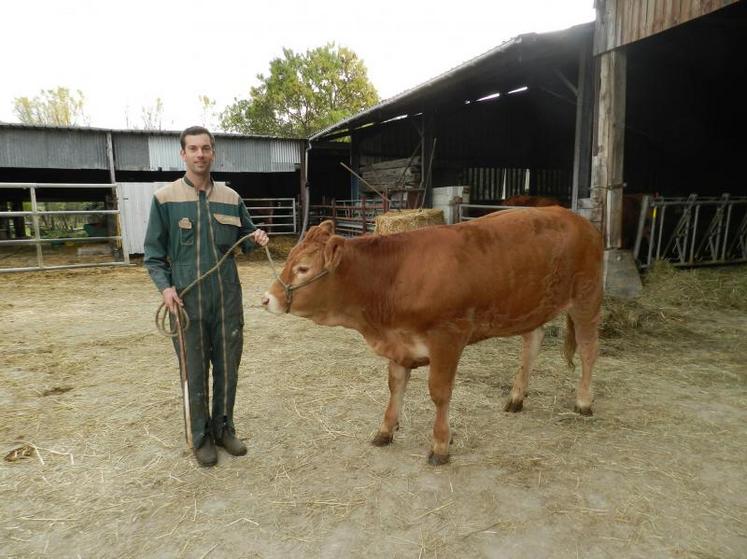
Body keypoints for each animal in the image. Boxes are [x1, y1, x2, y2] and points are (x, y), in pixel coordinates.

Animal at [262, 208, 600, 466]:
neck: (392, 278)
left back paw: (584, 401)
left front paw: (440, 445)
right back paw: (516, 397)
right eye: (290, 259)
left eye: (303, 268)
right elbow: (395, 386)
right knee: (532, 344)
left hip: (586, 299)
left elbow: (439, 393)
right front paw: (385, 430)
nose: (267, 299)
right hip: (532, 307)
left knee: (587, 349)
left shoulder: (447, 337)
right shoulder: (399, 342)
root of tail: (575, 217)